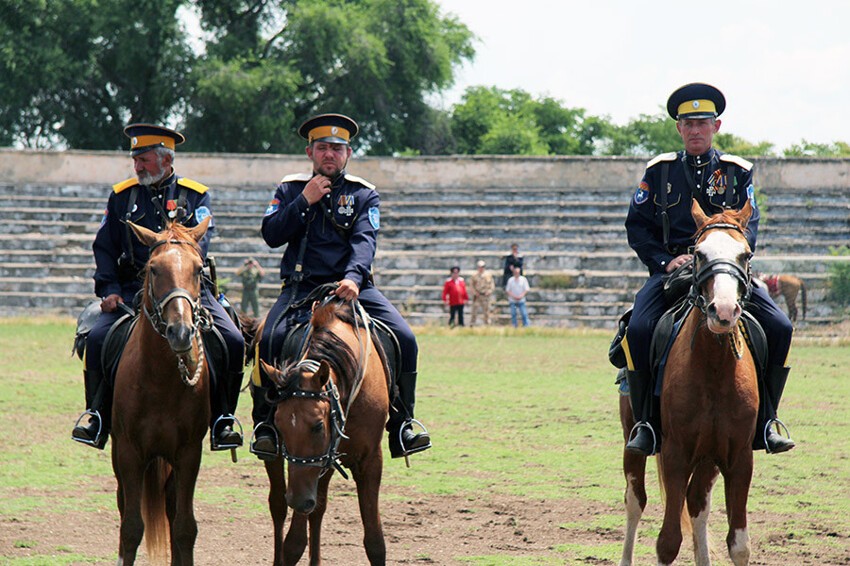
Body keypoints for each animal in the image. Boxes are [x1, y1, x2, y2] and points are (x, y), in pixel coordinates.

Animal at [111, 219, 212, 566]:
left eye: (198, 269)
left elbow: (185, 528)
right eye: (153, 269)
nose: (180, 332)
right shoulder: (129, 452)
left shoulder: (189, 453)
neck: (159, 379)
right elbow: (130, 527)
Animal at [252, 296, 388, 564]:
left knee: (317, 509)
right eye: (280, 424)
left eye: (317, 425)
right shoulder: (303, 469)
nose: (297, 500)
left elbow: (375, 543)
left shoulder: (369, 459)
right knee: (280, 506)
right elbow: (293, 543)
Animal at [620, 202, 760, 564]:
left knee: (698, 505)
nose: (723, 311)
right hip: (633, 439)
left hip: (709, 458)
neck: (714, 370)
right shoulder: (675, 454)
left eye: (745, 254)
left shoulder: (739, 458)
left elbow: (740, 544)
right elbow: (668, 542)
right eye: (698, 253)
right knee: (635, 500)